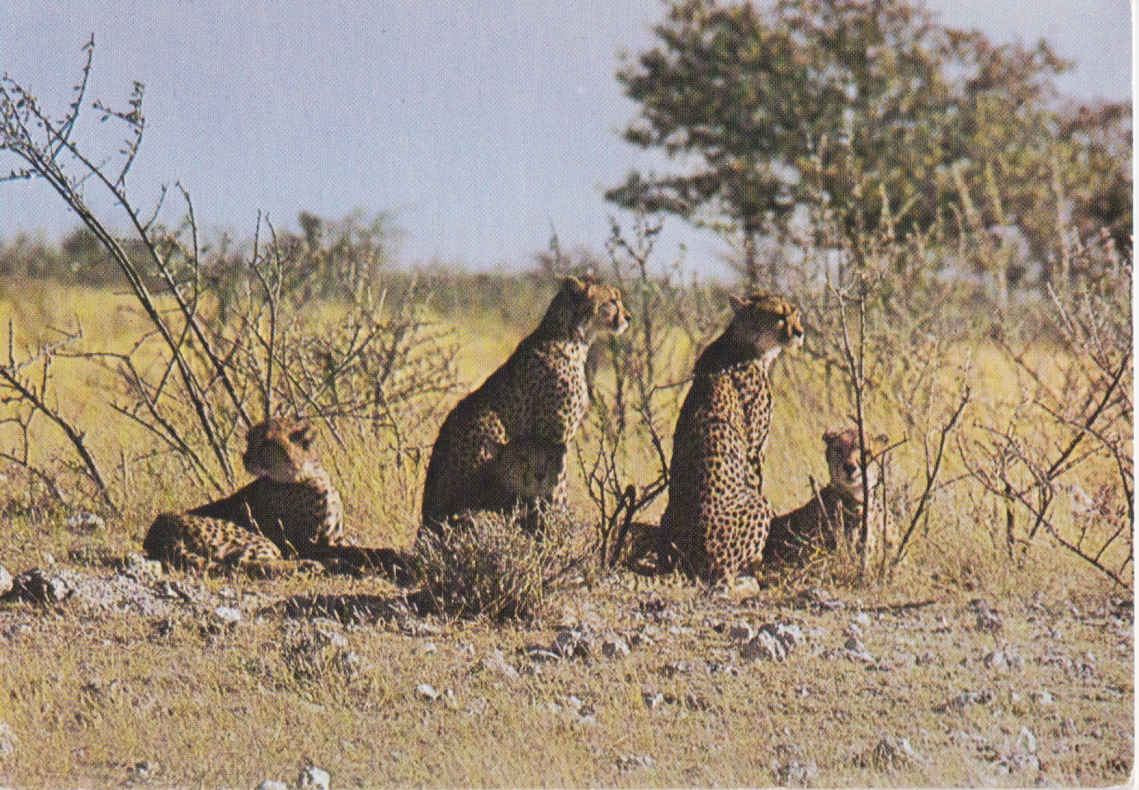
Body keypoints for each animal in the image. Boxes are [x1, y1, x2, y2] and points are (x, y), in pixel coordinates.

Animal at [144, 418, 407, 578]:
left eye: (266, 442)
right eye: (250, 439)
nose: (245, 458)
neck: (307, 474)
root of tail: (159, 531)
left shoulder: (334, 538)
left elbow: (370, 549)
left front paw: (394, 555)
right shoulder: (306, 544)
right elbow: (360, 552)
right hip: (257, 539)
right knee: (247, 565)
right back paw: (317, 565)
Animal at [421, 276, 628, 532]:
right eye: (612, 301)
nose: (628, 317)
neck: (572, 336)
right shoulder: (557, 433)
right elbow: (559, 479)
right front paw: (560, 516)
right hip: (493, 433)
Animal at [656, 293, 806, 582]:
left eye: (796, 314)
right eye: (779, 316)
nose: (800, 333)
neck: (744, 343)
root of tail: (684, 560)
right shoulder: (755, 449)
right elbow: (756, 479)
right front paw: (759, 563)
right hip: (758, 507)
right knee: (724, 576)